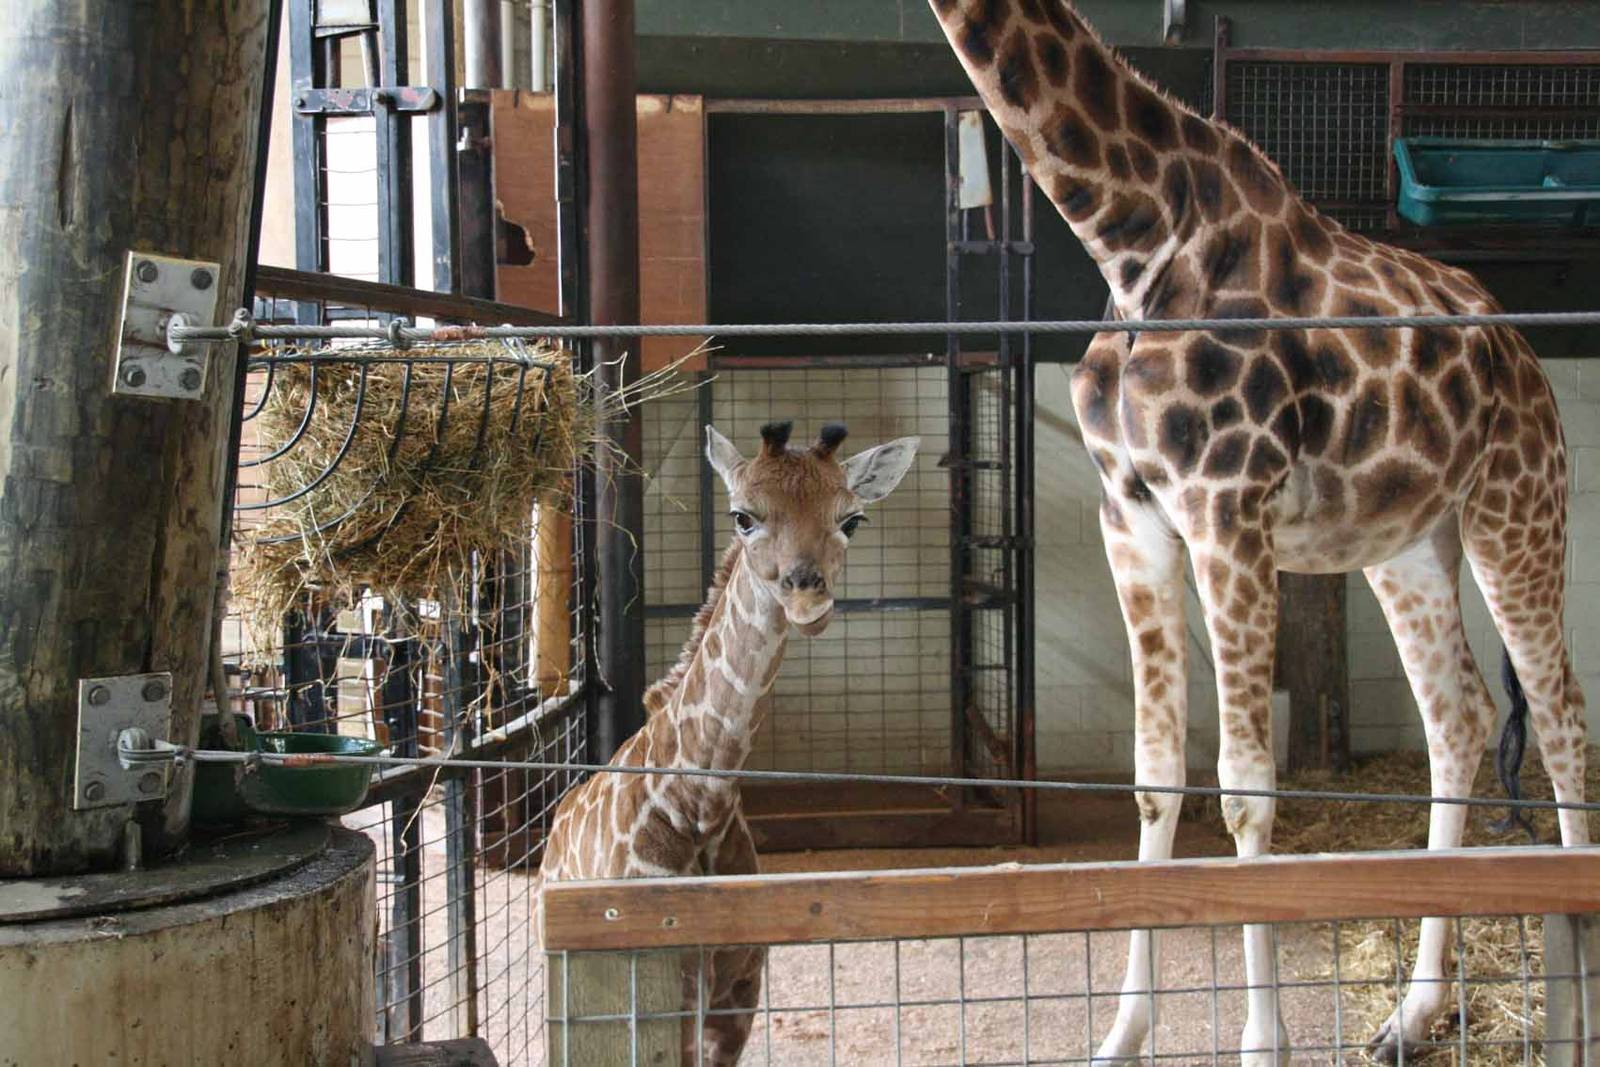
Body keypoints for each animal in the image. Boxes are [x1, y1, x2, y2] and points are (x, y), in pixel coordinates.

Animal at [536, 420, 918, 1065]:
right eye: (743, 516)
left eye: (852, 520)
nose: (807, 599)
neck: (701, 805)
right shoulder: (664, 1002)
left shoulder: (738, 995)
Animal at [926, 1, 1589, 1061]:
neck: (1135, 236)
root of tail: (1518, 347)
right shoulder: (1134, 518)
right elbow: (1156, 778)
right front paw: (1121, 1034)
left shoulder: (1227, 507)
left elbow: (1245, 789)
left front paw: (1259, 1041)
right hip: (1409, 543)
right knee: (1460, 715)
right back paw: (1410, 1016)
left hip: (1517, 505)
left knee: (1561, 716)